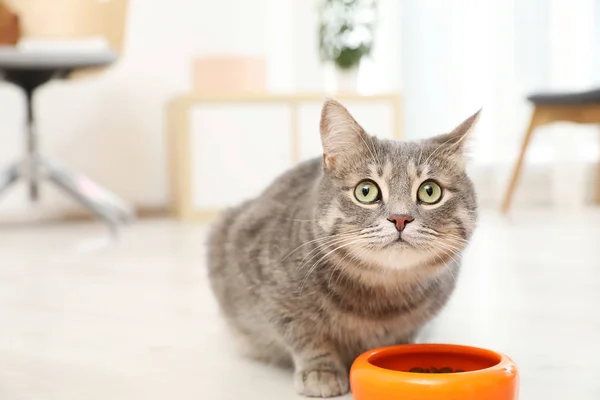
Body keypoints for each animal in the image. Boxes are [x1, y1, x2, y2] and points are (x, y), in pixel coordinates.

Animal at [209, 99, 480, 396]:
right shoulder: (272, 295)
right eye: (366, 191)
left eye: (430, 191)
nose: (400, 218)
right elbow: (304, 335)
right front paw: (320, 371)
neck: (381, 297)